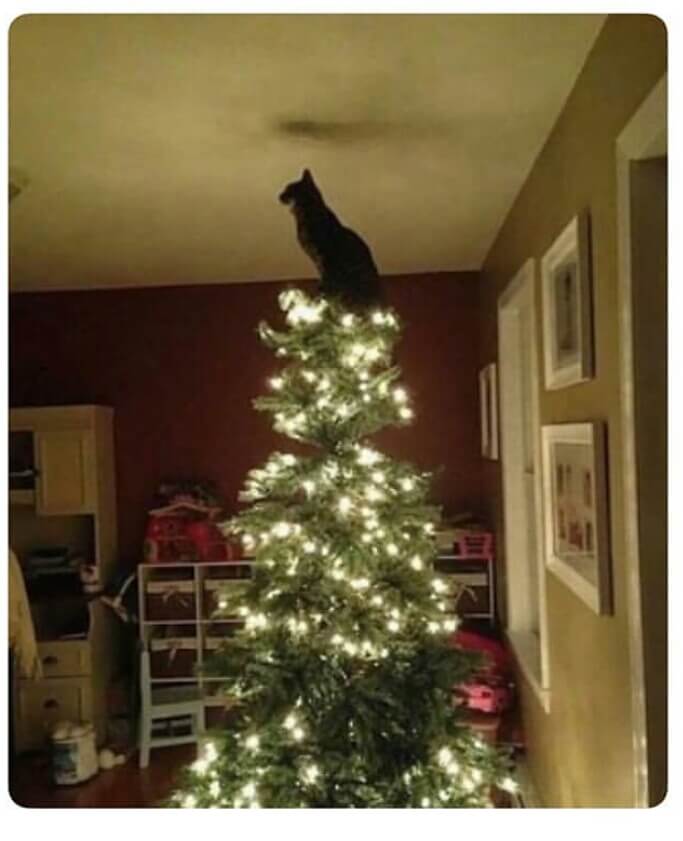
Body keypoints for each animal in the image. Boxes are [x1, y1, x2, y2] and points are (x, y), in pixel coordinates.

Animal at [279, 169, 382, 309]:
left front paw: (322, 295)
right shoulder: (319, 260)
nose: (279, 195)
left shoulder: (325, 257)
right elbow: (322, 276)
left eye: (287, 189)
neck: (307, 212)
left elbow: (326, 280)